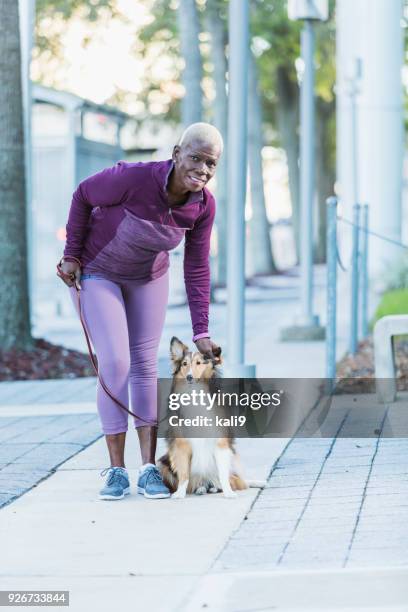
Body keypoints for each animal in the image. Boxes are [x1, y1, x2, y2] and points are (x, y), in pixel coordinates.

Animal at [156, 338, 264, 500]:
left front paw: (228, 493)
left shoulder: (220, 441)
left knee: (234, 480)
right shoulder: (181, 443)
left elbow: (223, 474)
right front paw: (180, 493)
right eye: (184, 364)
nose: (189, 377)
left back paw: (216, 487)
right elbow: (184, 474)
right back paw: (201, 488)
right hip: (162, 464)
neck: (195, 395)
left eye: (199, 363)